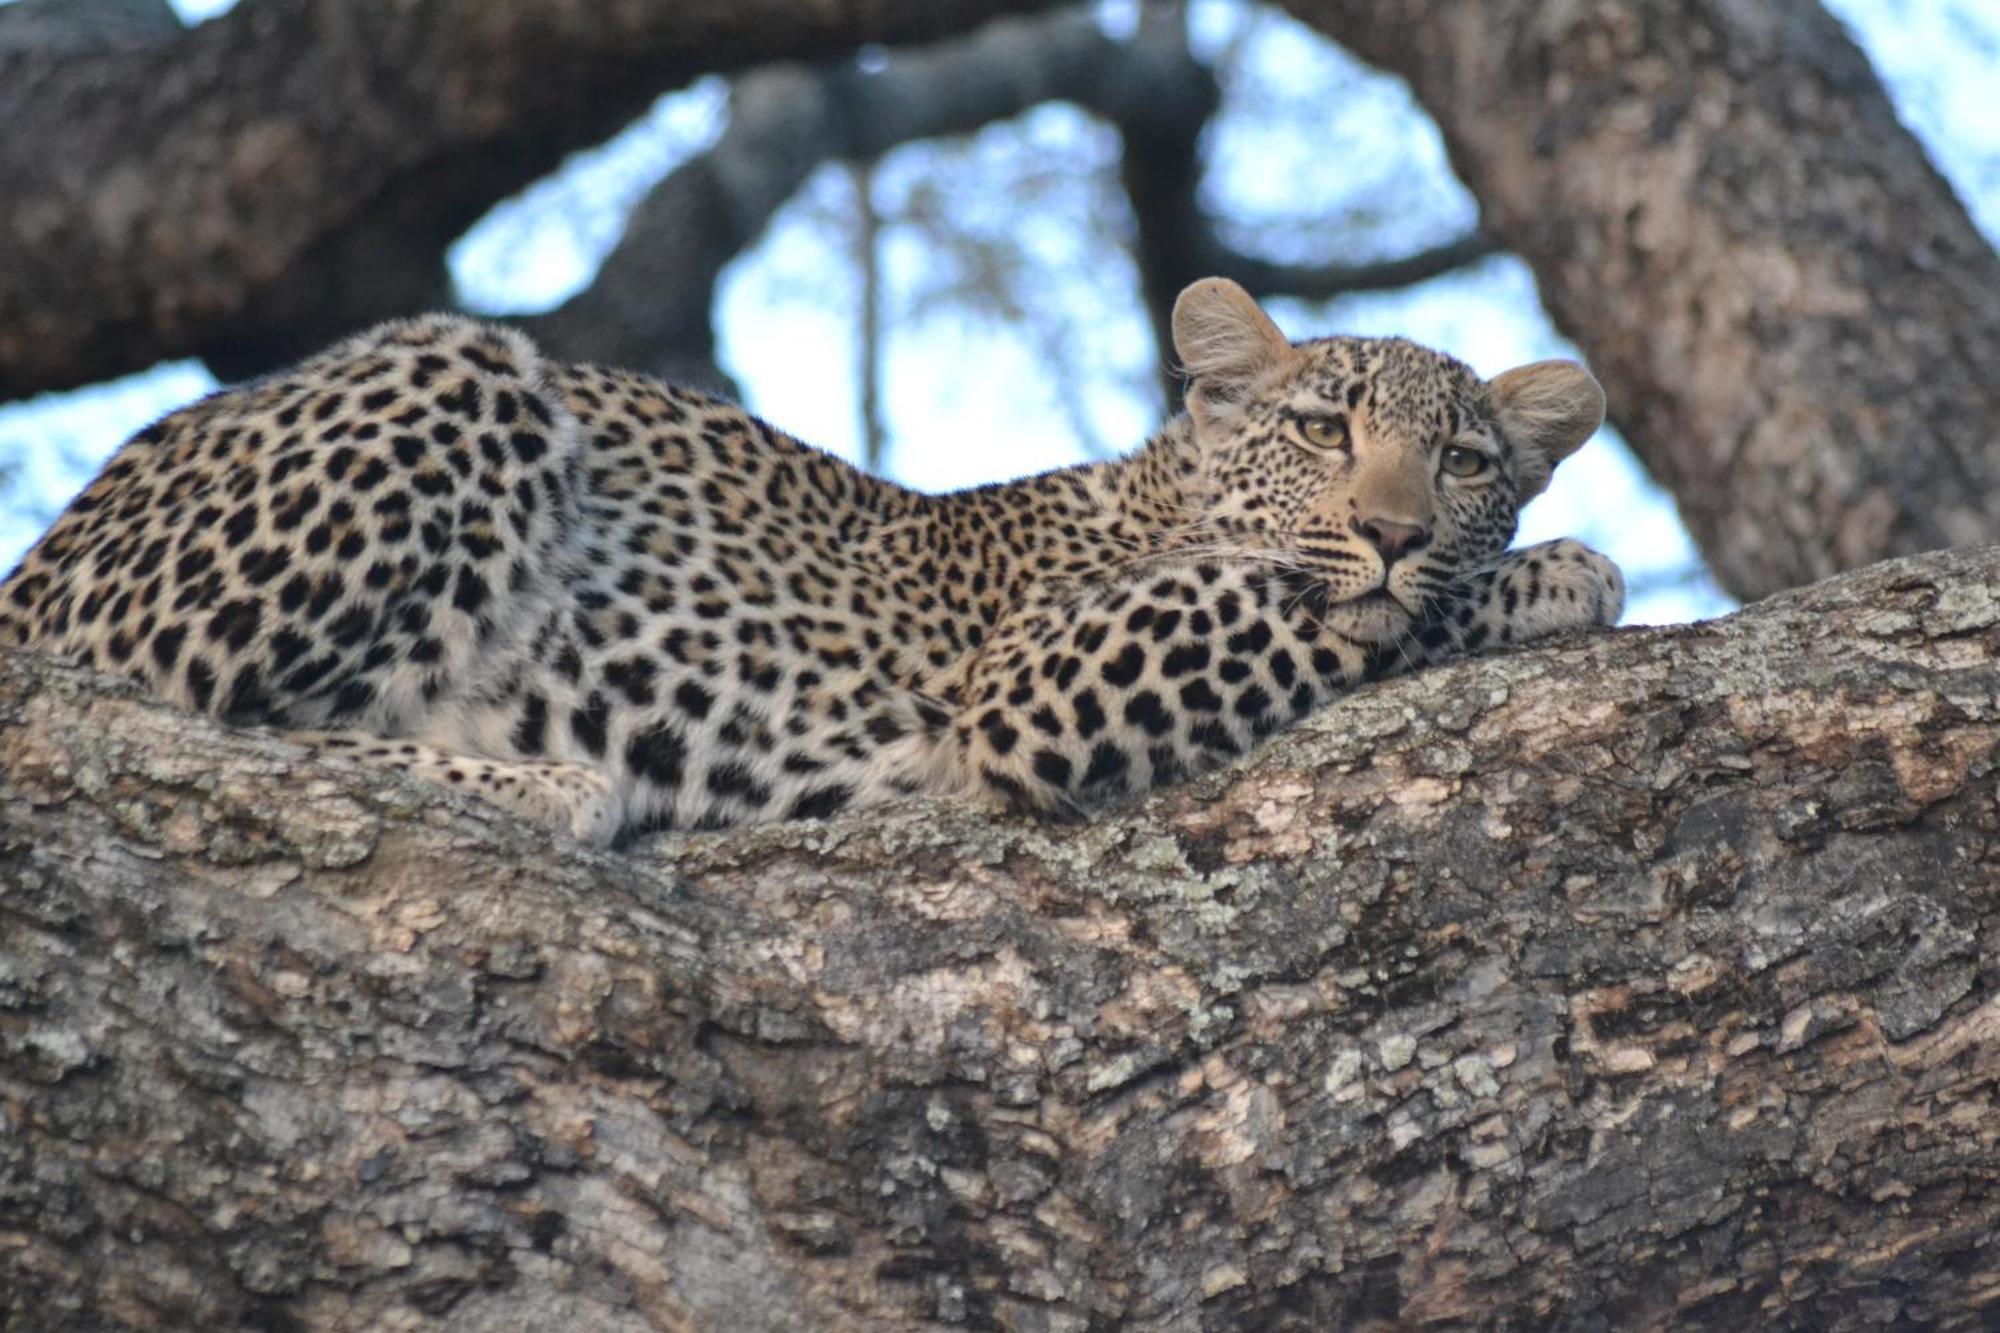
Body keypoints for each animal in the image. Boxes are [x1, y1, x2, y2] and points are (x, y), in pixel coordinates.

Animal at [0, 274, 1616, 844]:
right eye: (1320, 426)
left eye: (1465, 462)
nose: (1398, 528)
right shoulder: (1041, 677)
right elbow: (1314, 605)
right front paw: (1556, 573)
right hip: (460, 366)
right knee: (181, 708)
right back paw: (547, 786)